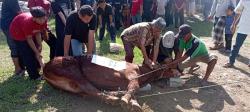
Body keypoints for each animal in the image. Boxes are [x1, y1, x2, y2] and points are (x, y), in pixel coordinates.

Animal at [43, 55, 180, 111]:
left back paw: (115, 94)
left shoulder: (128, 82)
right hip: (75, 73)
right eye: (170, 66)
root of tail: (45, 68)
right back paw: (114, 99)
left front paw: (133, 103)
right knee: (89, 89)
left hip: (73, 87)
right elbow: (133, 88)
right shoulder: (132, 76)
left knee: (87, 92)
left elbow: (133, 91)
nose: (180, 71)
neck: (142, 71)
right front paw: (127, 101)